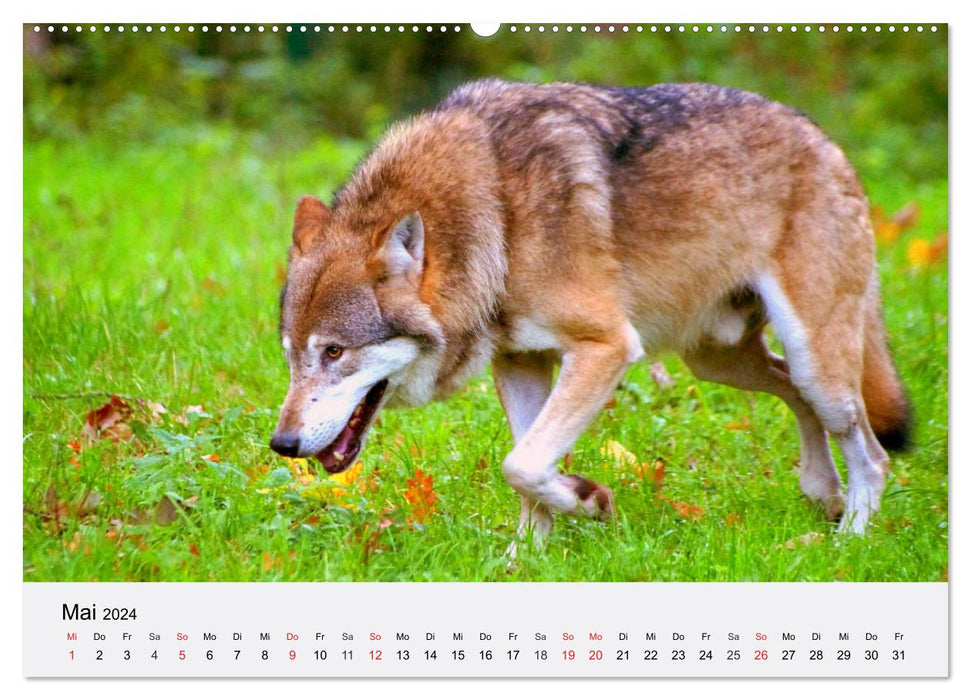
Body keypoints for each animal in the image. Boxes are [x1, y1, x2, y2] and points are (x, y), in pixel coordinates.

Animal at [272, 80, 912, 540]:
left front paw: (589, 500)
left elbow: (522, 464)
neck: (497, 219)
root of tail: (826, 142)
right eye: (290, 357)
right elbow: (525, 469)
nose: (281, 445)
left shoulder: (606, 347)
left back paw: (849, 541)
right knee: (795, 395)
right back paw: (822, 492)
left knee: (873, 454)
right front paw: (524, 559)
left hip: (812, 359)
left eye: (334, 352)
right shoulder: (520, 362)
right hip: (719, 361)